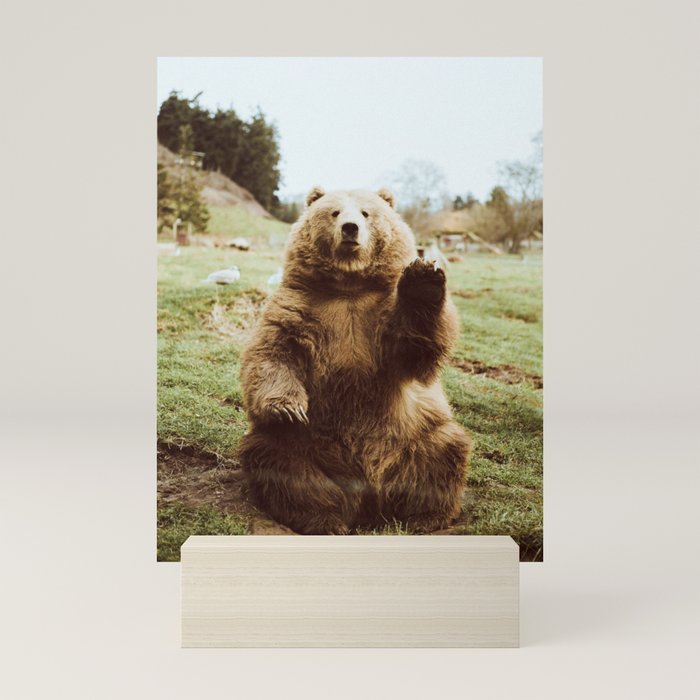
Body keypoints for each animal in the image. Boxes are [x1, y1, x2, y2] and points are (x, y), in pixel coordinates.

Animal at [238, 186, 471, 535]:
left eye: (365, 213)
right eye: (334, 212)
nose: (350, 228)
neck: (349, 286)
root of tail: (369, 497)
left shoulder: (379, 318)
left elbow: (415, 348)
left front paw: (423, 279)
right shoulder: (299, 307)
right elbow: (273, 353)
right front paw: (288, 408)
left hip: (414, 434)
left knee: (442, 452)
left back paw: (425, 517)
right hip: (305, 447)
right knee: (280, 463)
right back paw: (324, 519)